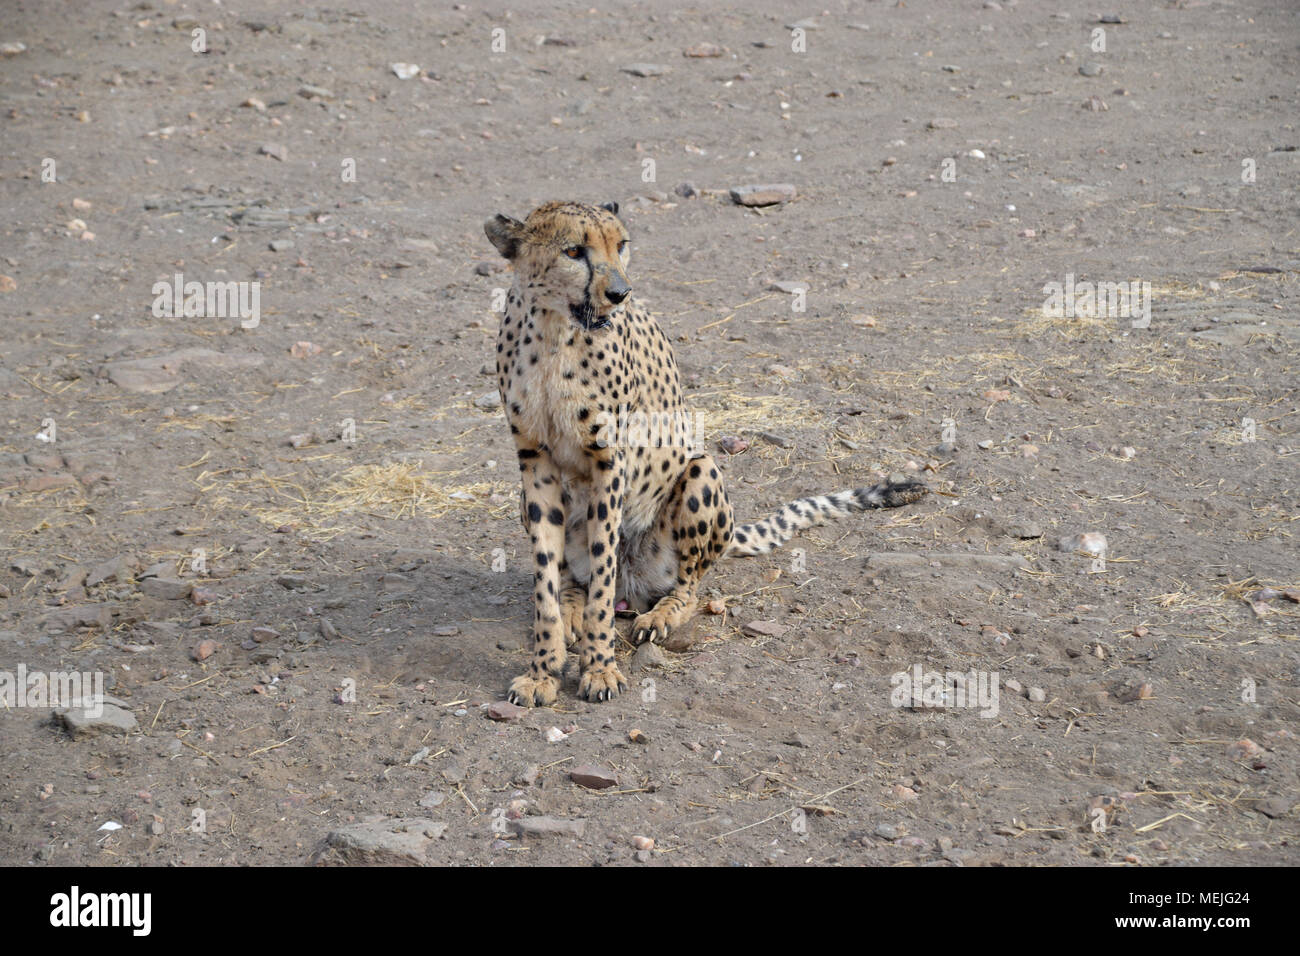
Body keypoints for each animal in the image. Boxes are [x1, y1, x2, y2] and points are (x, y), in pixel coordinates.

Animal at [486, 201, 925, 707]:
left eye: (622, 245)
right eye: (574, 251)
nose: (619, 293)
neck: (556, 330)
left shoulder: (610, 461)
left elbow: (602, 572)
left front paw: (599, 669)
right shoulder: (534, 461)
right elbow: (547, 583)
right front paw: (543, 670)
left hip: (701, 470)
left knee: (687, 584)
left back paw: (659, 615)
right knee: (575, 581)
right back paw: (573, 610)